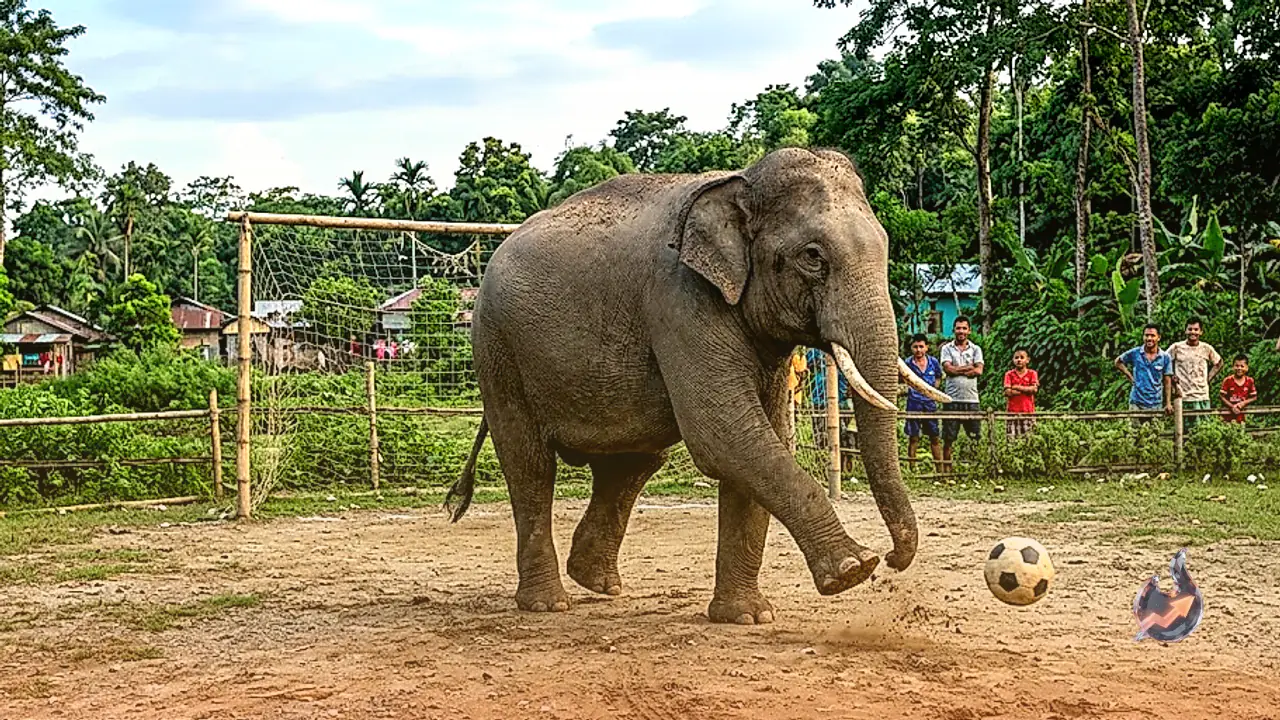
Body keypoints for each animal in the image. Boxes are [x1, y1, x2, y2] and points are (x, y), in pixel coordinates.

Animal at [445, 147, 950, 624]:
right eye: (813, 256)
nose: (893, 558)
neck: (740, 182)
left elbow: (759, 436)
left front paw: (747, 616)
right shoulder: (680, 300)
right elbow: (725, 433)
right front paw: (852, 570)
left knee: (635, 460)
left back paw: (596, 581)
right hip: (497, 348)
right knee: (530, 464)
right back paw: (548, 603)